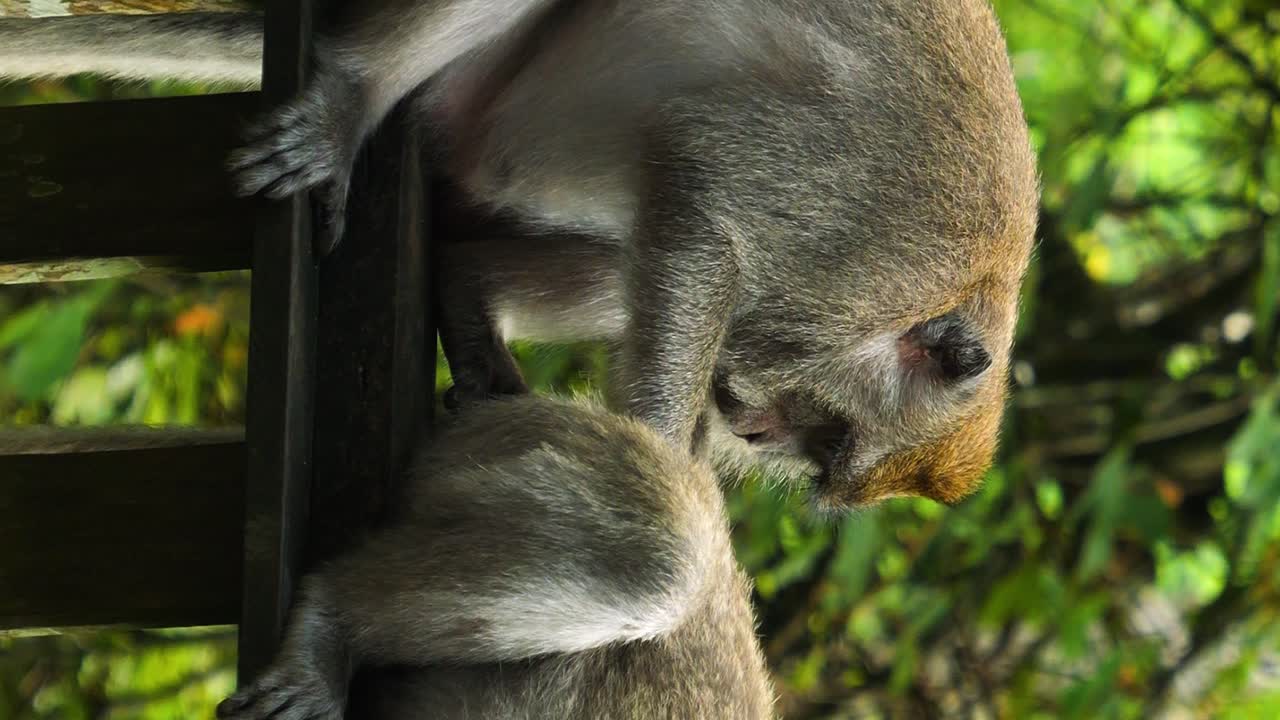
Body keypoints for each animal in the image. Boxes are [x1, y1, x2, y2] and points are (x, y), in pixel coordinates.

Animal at [0, 0, 1039, 509]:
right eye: (824, 436)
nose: (751, 434)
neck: (949, 290)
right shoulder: (846, 227)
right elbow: (702, 213)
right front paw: (656, 460)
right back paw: (350, 96)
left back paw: (471, 297)